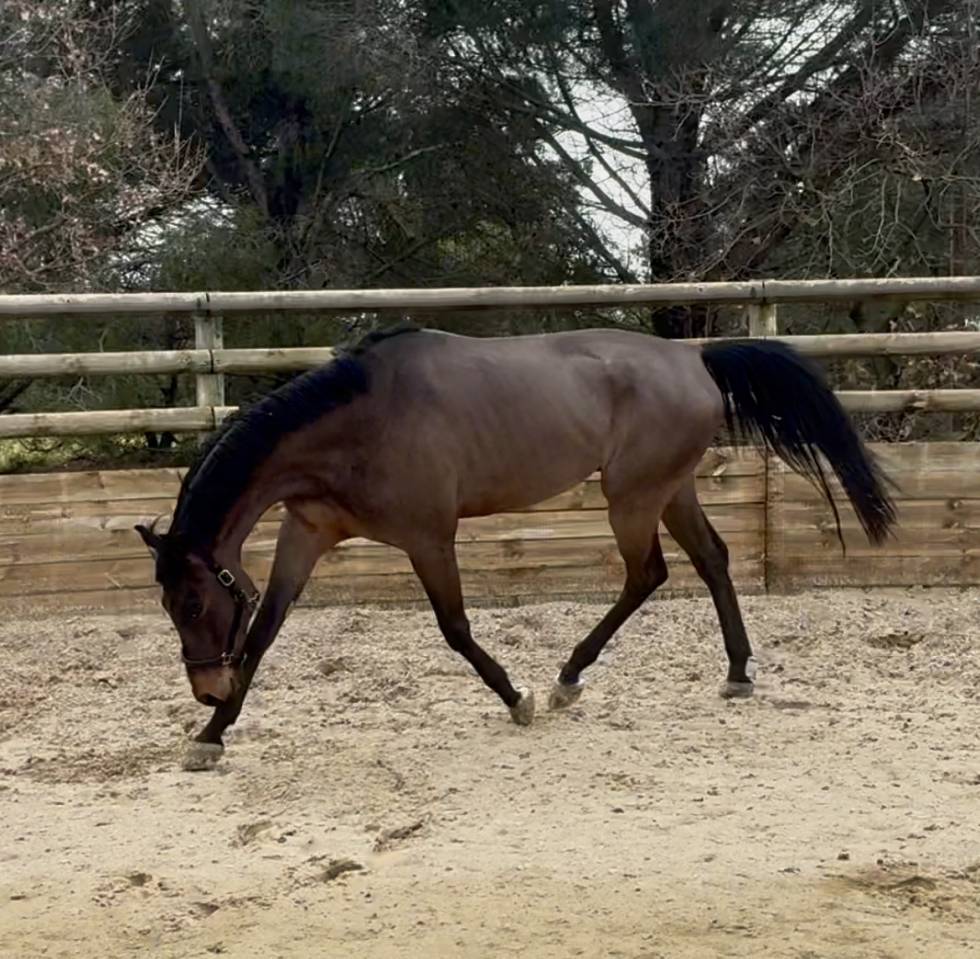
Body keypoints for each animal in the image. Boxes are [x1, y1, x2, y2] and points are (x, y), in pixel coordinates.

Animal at [135, 326, 896, 770]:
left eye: (195, 601)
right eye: (169, 606)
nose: (205, 688)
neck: (358, 420)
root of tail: (695, 356)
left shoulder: (427, 536)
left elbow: (453, 627)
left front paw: (516, 698)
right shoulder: (307, 532)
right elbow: (265, 630)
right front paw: (210, 736)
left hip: (632, 495)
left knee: (646, 573)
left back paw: (566, 678)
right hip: (671, 488)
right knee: (710, 560)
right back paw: (736, 672)